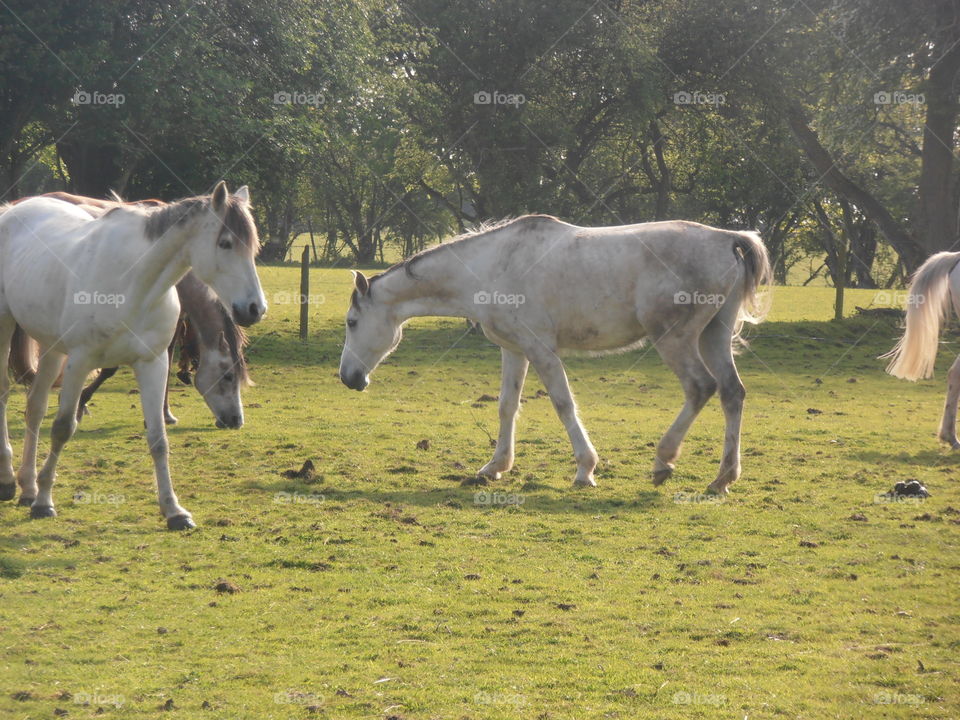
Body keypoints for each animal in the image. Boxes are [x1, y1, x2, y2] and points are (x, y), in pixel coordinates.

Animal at [0, 180, 266, 528]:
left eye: (254, 248)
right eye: (225, 243)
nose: (255, 308)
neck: (134, 283)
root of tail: (14, 208)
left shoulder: (152, 362)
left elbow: (158, 439)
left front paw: (174, 511)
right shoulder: (80, 361)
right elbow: (62, 428)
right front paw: (45, 502)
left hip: (51, 347)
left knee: (35, 406)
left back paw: (27, 487)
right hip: (6, 324)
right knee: (6, 394)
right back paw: (10, 481)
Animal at [340, 215, 772, 496]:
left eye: (351, 322)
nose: (348, 378)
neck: (491, 264)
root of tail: (727, 238)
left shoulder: (540, 349)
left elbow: (563, 404)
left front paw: (585, 469)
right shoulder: (514, 349)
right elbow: (506, 405)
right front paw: (495, 466)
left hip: (675, 339)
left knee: (700, 388)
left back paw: (663, 462)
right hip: (713, 336)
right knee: (732, 393)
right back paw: (722, 479)